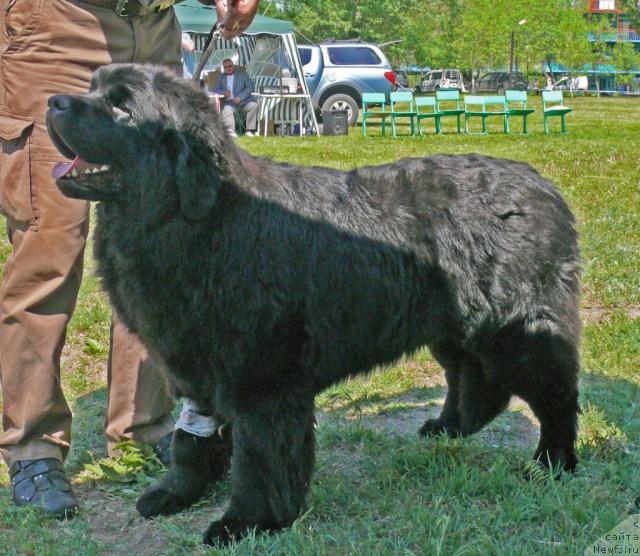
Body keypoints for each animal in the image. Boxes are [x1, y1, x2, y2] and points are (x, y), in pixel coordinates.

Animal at [47, 64, 584, 544]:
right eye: (93, 87)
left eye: (122, 106)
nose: (53, 101)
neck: (200, 219)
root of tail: (544, 186)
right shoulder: (196, 361)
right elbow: (191, 440)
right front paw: (177, 492)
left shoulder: (263, 378)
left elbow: (259, 459)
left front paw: (247, 522)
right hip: (453, 324)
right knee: (473, 379)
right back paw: (448, 427)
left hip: (518, 329)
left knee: (555, 394)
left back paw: (552, 464)